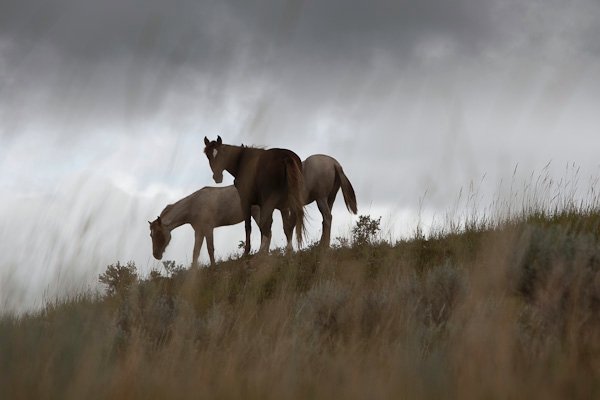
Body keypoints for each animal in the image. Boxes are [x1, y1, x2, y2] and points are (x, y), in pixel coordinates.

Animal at [149, 156, 356, 266]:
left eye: (156, 234)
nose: (156, 255)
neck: (196, 202)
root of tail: (334, 163)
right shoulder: (199, 230)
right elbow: (196, 251)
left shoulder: (208, 228)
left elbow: (209, 249)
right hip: (328, 198)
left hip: (316, 200)